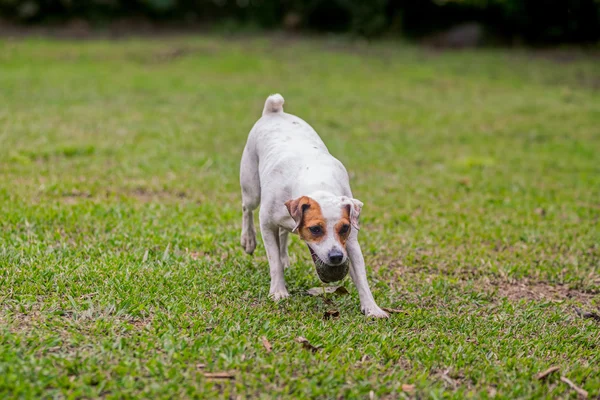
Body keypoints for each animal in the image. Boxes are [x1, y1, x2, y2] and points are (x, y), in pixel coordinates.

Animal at [239, 94, 390, 318]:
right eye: (315, 229)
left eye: (344, 228)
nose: (336, 256)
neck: (318, 183)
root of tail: (274, 111)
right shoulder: (266, 224)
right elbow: (273, 262)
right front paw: (279, 291)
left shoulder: (351, 240)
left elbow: (361, 275)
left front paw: (372, 308)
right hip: (251, 187)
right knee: (247, 208)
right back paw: (248, 239)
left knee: (283, 232)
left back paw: (284, 257)